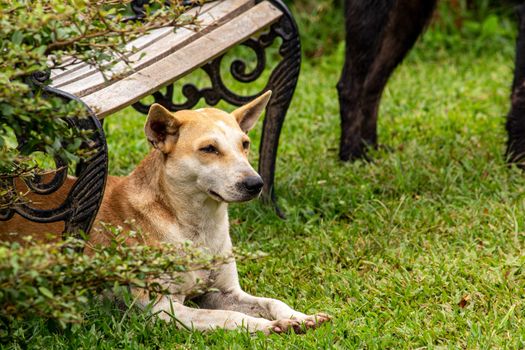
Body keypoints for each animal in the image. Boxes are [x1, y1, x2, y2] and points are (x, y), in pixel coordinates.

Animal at [0, 90, 330, 334]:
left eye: (245, 144)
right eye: (209, 149)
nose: (255, 183)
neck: (196, 227)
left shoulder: (224, 293)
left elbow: (271, 301)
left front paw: (297, 316)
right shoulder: (160, 307)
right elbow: (226, 317)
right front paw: (264, 326)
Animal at [338, 0, 524, 165]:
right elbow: (520, 93)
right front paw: (517, 161)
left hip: (408, 15)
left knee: (372, 85)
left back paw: (370, 147)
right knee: (349, 85)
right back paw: (352, 155)